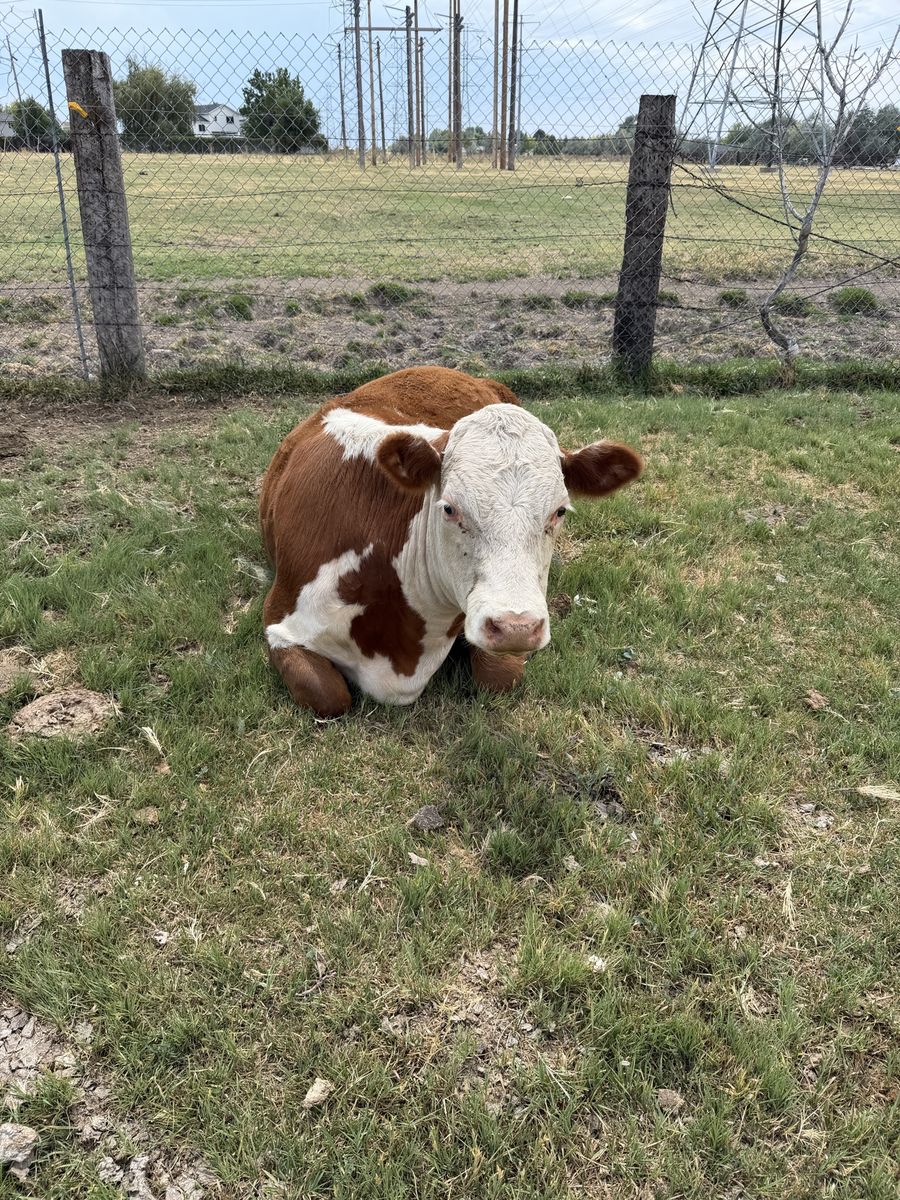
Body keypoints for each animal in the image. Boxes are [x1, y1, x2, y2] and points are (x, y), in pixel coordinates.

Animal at [260, 366, 642, 717]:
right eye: (449, 508)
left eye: (559, 511)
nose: (517, 629)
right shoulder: (281, 624)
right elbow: (327, 696)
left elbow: (500, 676)